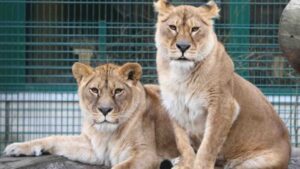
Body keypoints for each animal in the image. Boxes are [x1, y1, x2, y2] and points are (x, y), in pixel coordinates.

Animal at [3, 62, 178, 169]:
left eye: (118, 91)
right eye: (94, 90)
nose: (105, 110)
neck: (106, 133)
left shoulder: (147, 155)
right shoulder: (94, 148)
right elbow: (56, 138)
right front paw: (16, 147)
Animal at [154, 0, 290, 168]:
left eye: (195, 29)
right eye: (173, 27)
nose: (183, 46)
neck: (181, 74)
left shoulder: (223, 105)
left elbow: (209, 143)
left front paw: (200, 165)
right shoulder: (175, 106)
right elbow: (182, 142)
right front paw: (186, 163)